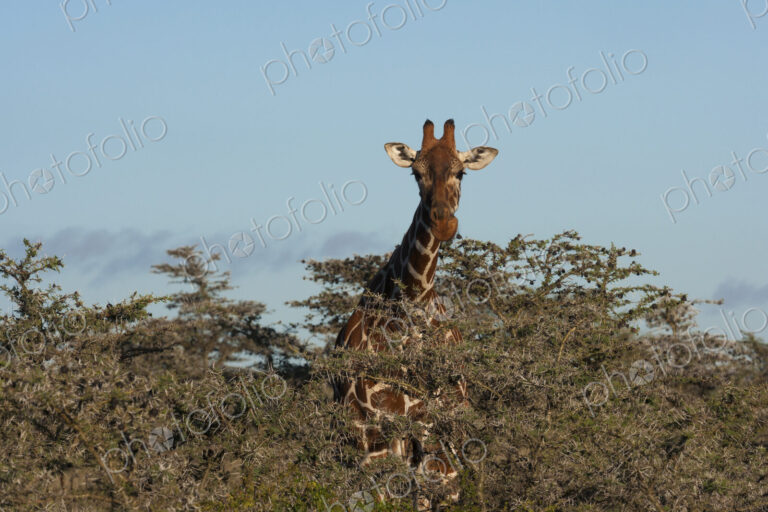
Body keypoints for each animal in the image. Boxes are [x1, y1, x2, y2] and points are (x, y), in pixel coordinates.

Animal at [333, 119, 498, 507]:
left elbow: (432, 490)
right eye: (416, 173)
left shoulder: (429, 424)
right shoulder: (378, 429)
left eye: (461, 172)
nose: (443, 223)